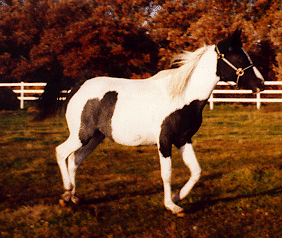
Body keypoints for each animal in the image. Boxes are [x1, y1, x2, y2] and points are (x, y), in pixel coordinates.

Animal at [35, 28, 264, 217]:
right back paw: (66, 192)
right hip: (81, 135)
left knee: (75, 160)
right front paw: (172, 206)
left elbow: (196, 171)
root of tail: (77, 86)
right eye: (238, 55)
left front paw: (178, 198)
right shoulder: (165, 141)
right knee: (61, 153)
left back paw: (72, 197)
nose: (261, 83)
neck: (182, 96)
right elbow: (167, 174)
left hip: (95, 138)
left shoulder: (183, 139)